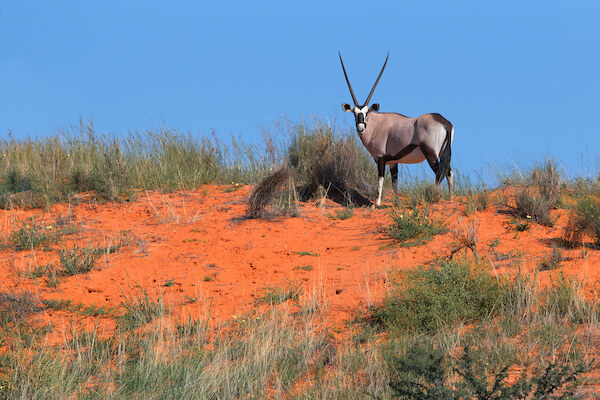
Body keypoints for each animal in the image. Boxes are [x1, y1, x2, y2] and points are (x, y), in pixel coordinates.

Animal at [340, 52, 452, 206]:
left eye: (367, 113)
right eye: (355, 113)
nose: (360, 128)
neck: (376, 126)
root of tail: (444, 123)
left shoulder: (381, 159)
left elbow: (380, 181)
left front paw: (376, 204)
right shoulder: (393, 162)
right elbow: (395, 183)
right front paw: (397, 203)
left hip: (431, 154)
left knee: (439, 173)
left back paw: (436, 197)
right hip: (443, 152)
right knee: (449, 172)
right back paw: (451, 198)